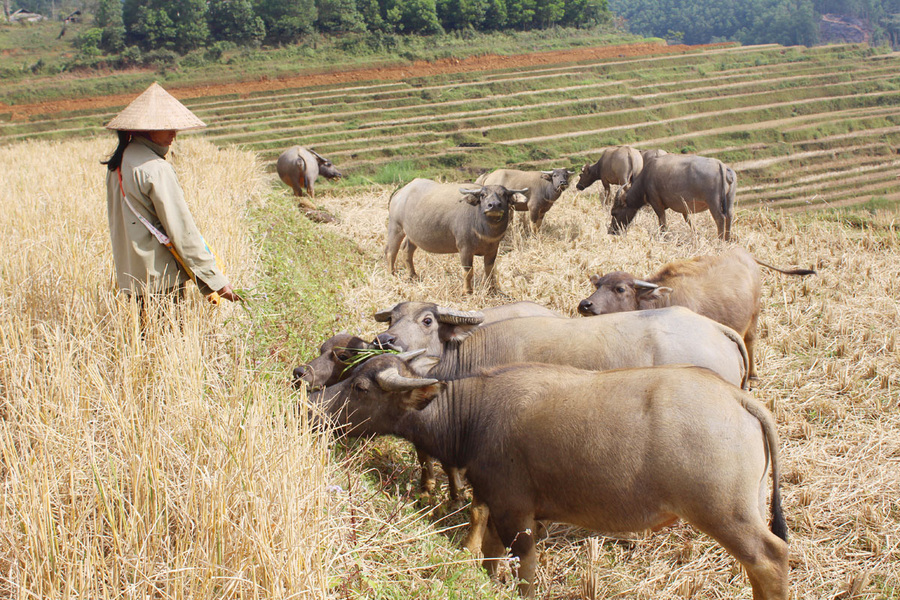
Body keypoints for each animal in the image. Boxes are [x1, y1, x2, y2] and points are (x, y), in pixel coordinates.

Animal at [312, 354, 788, 596]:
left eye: (360, 387)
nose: (317, 410)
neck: (474, 415)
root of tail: (736, 398)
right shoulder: (498, 507)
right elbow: (490, 557)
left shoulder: (517, 514)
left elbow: (524, 570)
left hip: (726, 513)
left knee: (769, 558)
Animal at [384, 179, 528, 294]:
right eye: (483, 195)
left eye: (504, 195)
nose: (494, 205)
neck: (484, 230)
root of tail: (400, 192)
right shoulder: (465, 249)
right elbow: (468, 272)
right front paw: (467, 291)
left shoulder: (493, 249)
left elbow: (489, 270)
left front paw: (491, 289)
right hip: (395, 227)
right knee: (391, 251)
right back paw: (392, 274)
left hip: (412, 234)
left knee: (407, 250)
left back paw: (412, 275)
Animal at [576, 247, 816, 380]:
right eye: (598, 285)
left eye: (620, 289)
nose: (585, 304)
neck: (660, 301)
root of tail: (746, 255)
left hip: (754, 316)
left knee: (751, 342)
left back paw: (753, 375)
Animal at [612, 152, 740, 241]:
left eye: (614, 213)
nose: (611, 231)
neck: (645, 179)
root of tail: (722, 166)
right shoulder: (684, 207)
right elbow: (688, 221)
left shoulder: (656, 203)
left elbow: (662, 222)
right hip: (729, 200)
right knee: (729, 216)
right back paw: (727, 239)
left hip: (713, 203)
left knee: (720, 218)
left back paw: (720, 240)